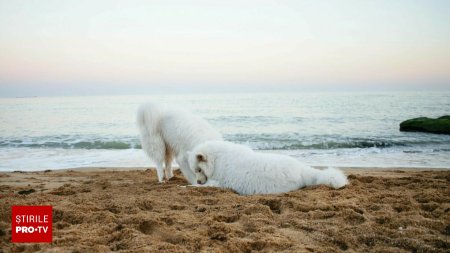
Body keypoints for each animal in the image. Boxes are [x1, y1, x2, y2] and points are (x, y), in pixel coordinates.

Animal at [188, 141, 350, 195]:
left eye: (198, 170)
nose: (199, 181)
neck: (217, 160)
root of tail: (303, 170)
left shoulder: (219, 183)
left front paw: (188, 186)